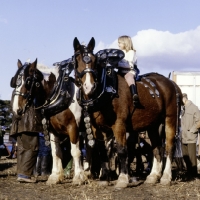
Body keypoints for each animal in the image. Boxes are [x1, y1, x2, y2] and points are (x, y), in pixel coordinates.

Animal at [73, 37, 181, 189]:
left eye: (94, 60)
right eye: (76, 60)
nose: (89, 86)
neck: (106, 90)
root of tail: (172, 84)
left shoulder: (119, 125)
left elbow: (122, 150)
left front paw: (123, 179)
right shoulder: (97, 128)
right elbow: (102, 151)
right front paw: (104, 178)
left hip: (170, 120)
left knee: (169, 147)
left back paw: (166, 177)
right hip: (153, 126)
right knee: (156, 148)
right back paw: (153, 176)